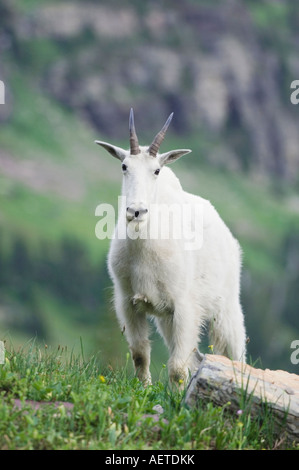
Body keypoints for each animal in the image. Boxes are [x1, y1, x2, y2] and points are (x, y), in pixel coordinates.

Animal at [95, 110, 246, 386]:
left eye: (156, 170)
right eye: (124, 166)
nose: (136, 211)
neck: (144, 249)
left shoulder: (185, 307)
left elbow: (176, 367)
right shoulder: (128, 303)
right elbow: (140, 355)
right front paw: (143, 390)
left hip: (226, 305)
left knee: (236, 352)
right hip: (166, 318)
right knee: (196, 358)